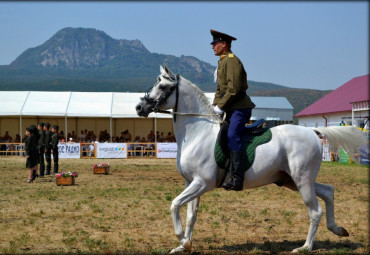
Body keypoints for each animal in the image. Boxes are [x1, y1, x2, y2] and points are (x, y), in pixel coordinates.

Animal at [135, 65, 364, 253]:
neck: (197, 132)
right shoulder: (190, 182)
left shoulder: (202, 183)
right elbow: (191, 215)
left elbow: (174, 204)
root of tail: (312, 132)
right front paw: (185, 245)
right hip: (291, 180)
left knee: (315, 211)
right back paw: (337, 229)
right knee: (328, 192)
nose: (139, 108)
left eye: (163, 86)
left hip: (302, 180)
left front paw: (182, 239)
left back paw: (305, 247)